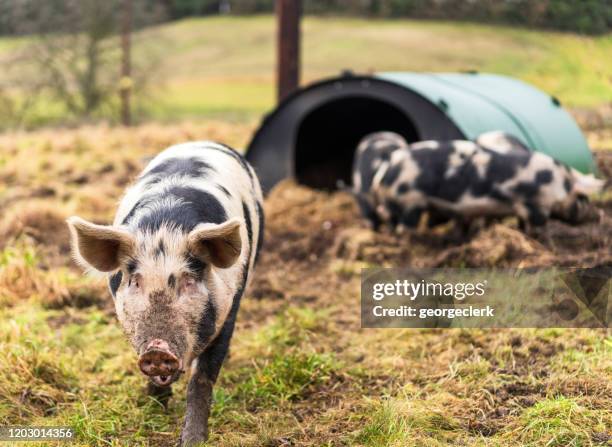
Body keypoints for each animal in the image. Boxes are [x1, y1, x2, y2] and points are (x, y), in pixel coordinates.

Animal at [65, 142, 264, 446]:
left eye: (188, 281)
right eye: (135, 282)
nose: (158, 349)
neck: (165, 229)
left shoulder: (230, 308)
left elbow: (201, 379)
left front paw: (192, 440)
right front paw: (154, 405)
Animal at [356, 138, 604, 233]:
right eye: (583, 198)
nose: (598, 215)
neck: (560, 181)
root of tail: (386, 168)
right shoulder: (533, 203)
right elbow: (536, 224)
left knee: (388, 216)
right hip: (410, 200)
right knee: (404, 223)